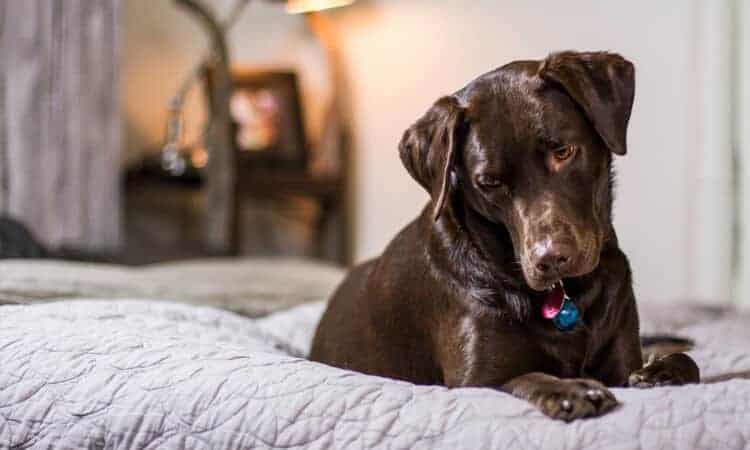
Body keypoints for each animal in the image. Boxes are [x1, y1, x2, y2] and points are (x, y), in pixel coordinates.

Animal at [310, 51, 700, 420]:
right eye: (490, 182)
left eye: (563, 152)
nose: (550, 258)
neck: (567, 296)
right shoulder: (475, 381)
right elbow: (525, 377)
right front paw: (570, 389)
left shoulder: (621, 364)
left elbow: (686, 363)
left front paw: (659, 372)